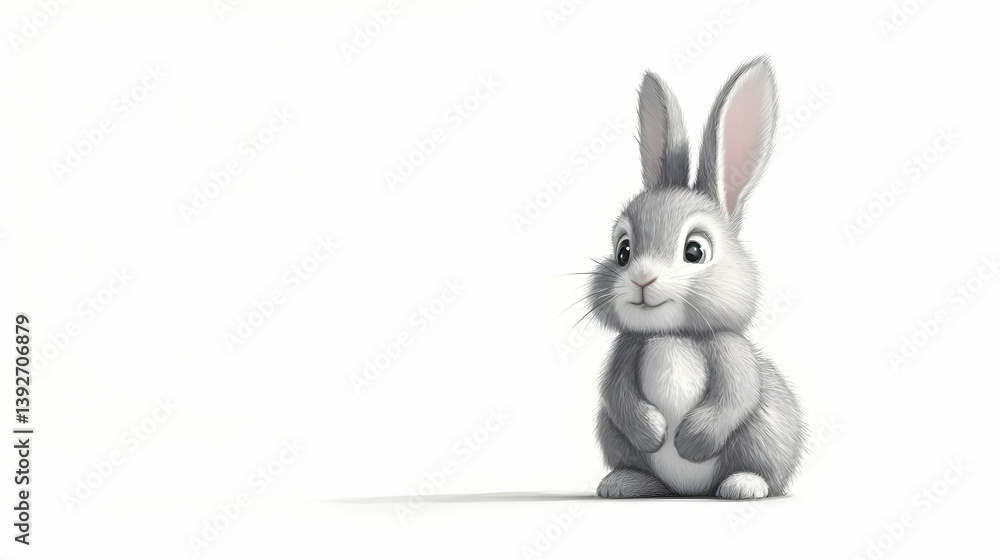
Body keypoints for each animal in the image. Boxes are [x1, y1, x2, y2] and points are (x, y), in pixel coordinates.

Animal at [588, 56, 806, 499]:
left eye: (695, 251)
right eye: (624, 251)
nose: (642, 279)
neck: (672, 336)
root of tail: (684, 492)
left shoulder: (732, 356)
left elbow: (735, 397)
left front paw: (690, 441)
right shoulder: (623, 357)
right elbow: (618, 396)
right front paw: (654, 432)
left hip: (767, 429)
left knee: (762, 467)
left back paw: (743, 484)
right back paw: (624, 481)